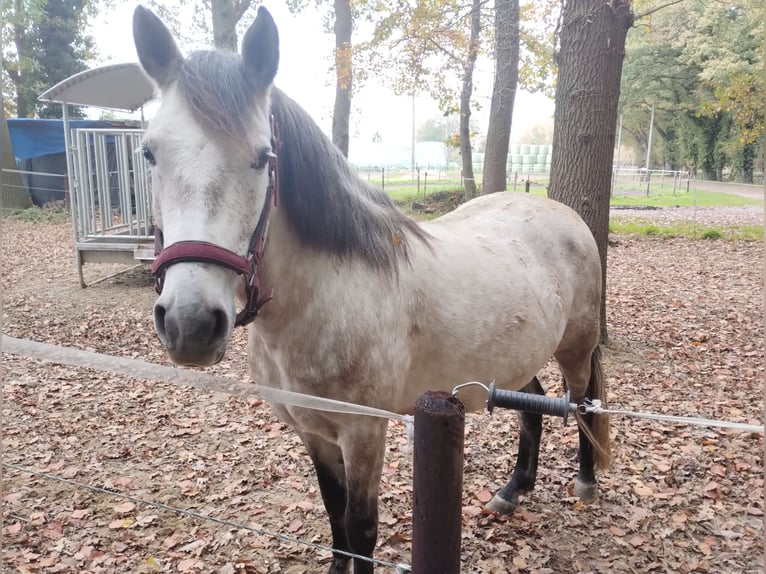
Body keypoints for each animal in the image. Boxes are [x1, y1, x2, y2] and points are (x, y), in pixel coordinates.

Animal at [132, 6, 612, 572]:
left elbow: (361, 529)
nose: (190, 324)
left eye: (262, 156)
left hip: (575, 350)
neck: (328, 295)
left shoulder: (364, 433)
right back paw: (512, 491)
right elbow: (333, 514)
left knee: (581, 405)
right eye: (150, 153)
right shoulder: (314, 433)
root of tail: (563, 214)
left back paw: (584, 482)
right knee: (533, 406)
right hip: (511, 360)